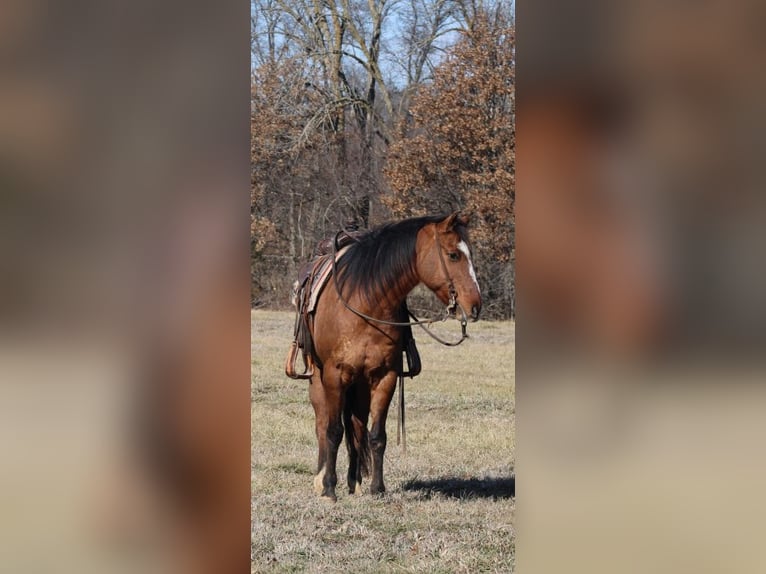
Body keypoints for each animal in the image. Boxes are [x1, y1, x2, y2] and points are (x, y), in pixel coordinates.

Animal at [296, 212, 483, 501]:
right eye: (453, 255)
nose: (475, 305)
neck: (365, 301)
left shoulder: (385, 377)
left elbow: (376, 435)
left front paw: (377, 488)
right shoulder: (334, 376)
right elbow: (333, 431)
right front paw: (328, 488)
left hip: (360, 385)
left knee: (357, 427)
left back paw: (355, 482)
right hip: (319, 379)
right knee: (322, 423)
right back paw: (321, 479)